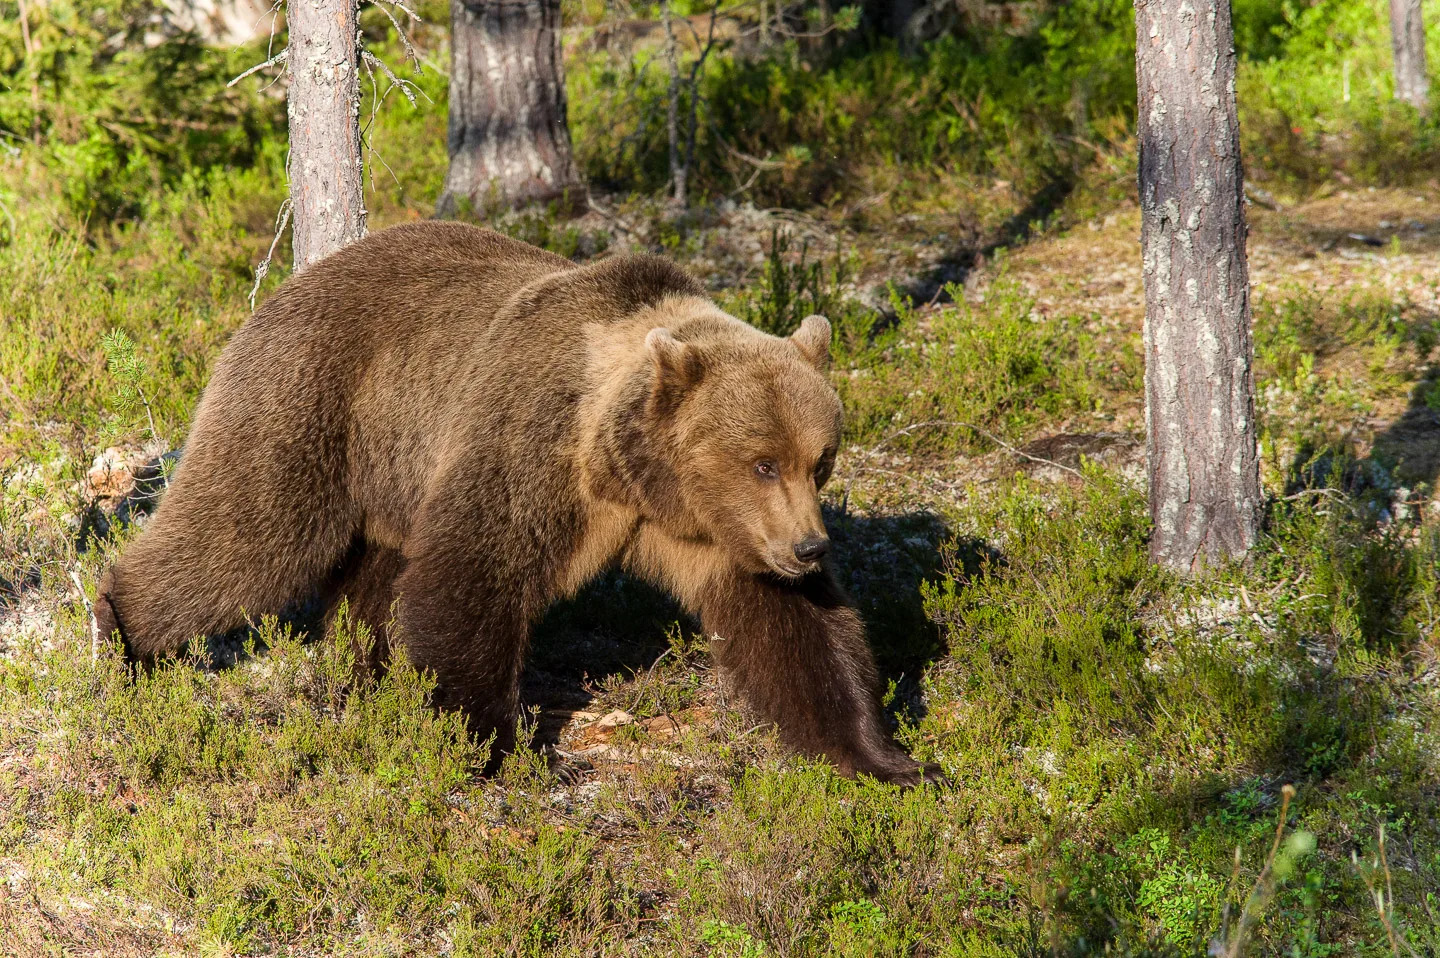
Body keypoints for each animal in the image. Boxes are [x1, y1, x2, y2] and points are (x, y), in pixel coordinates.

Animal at [92, 221, 944, 783]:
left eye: (818, 460)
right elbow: (474, 577)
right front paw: (499, 746)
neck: (628, 471)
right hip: (312, 404)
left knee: (370, 578)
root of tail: (283, 289)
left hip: (393, 471)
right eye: (762, 461)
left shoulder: (713, 531)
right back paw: (124, 635)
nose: (810, 548)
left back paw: (364, 675)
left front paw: (892, 760)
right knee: (247, 536)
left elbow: (795, 628)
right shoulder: (533, 446)